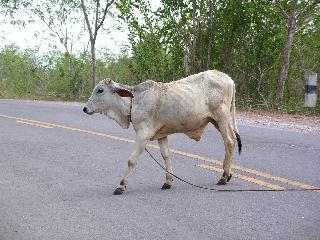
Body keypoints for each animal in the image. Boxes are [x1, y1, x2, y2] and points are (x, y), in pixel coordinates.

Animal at [84, 69, 241, 195]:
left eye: (100, 90)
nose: (85, 108)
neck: (133, 102)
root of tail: (229, 79)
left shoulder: (143, 135)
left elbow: (132, 160)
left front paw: (121, 186)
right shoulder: (162, 135)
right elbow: (166, 156)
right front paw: (168, 181)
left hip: (221, 117)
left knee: (229, 141)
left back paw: (223, 177)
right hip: (216, 120)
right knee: (231, 140)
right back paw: (228, 173)